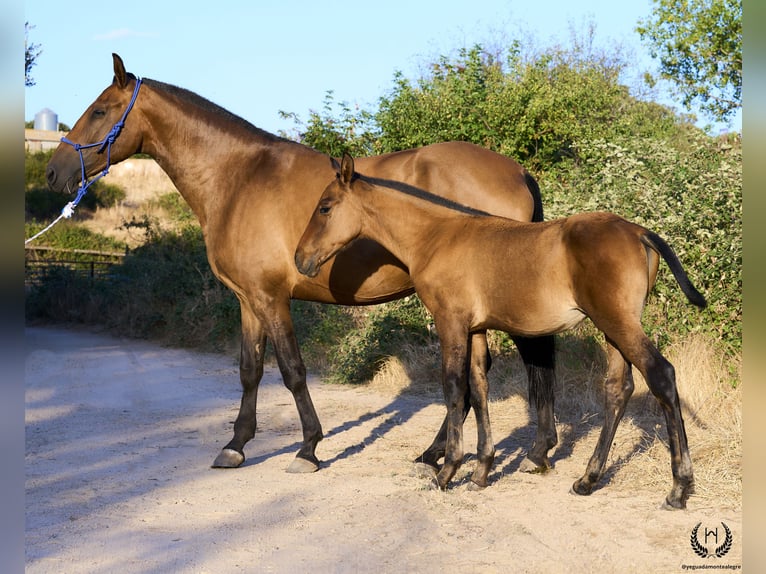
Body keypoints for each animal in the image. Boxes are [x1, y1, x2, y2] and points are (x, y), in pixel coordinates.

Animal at [45, 54, 560, 476]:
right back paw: (446, 454)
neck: (237, 178)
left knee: (522, 360)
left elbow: (292, 370)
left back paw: (530, 451)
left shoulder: (272, 297)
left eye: (99, 111)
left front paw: (308, 448)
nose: (53, 172)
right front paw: (235, 446)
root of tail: (518, 170)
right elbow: (249, 369)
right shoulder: (248, 300)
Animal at [294, 155, 708, 510]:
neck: (437, 236)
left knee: (661, 375)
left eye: (325, 207)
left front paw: (447, 471)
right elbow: (479, 388)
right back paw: (587, 480)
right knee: (618, 389)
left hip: (617, 321)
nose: (301, 259)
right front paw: (481, 471)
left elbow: (454, 386)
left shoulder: (450, 321)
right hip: (612, 328)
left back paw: (678, 488)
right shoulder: (476, 328)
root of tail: (638, 232)